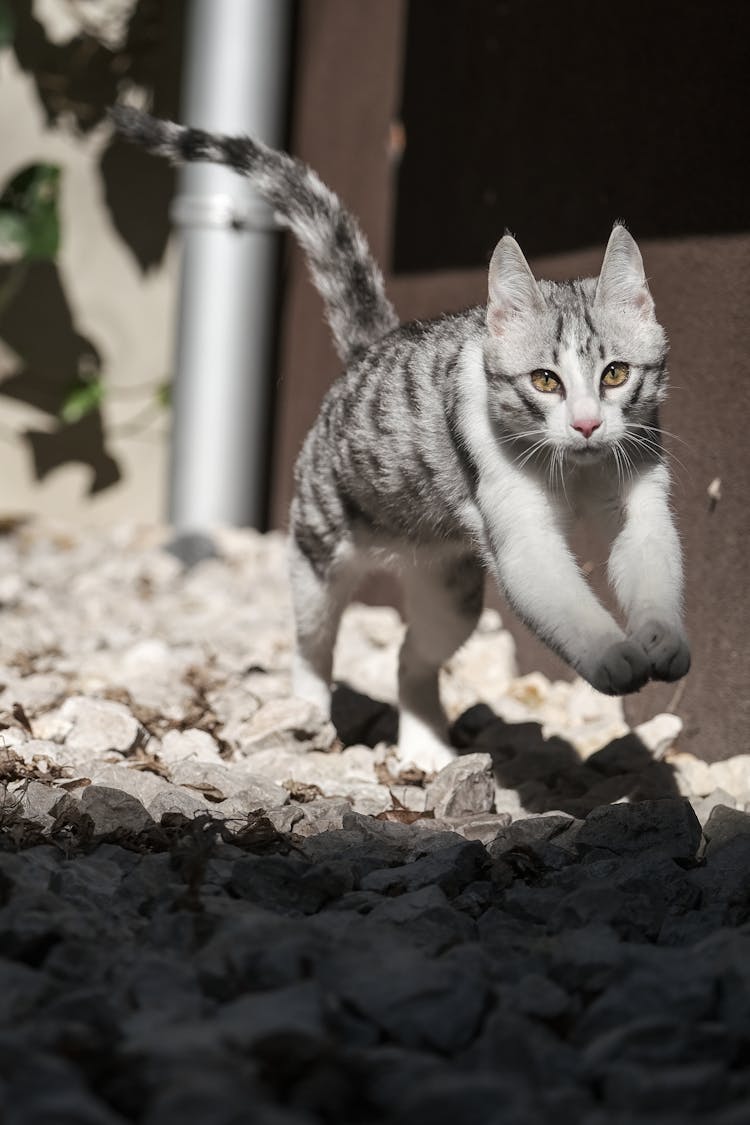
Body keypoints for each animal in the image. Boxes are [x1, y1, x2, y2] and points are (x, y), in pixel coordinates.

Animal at [111, 105, 692, 774]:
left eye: (615, 374)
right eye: (545, 380)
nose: (587, 423)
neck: (575, 470)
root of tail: (371, 348)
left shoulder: (638, 493)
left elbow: (649, 559)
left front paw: (662, 641)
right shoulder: (521, 534)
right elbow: (565, 599)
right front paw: (613, 656)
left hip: (451, 591)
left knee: (411, 656)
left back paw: (425, 746)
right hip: (316, 550)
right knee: (312, 643)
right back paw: (308, 714)